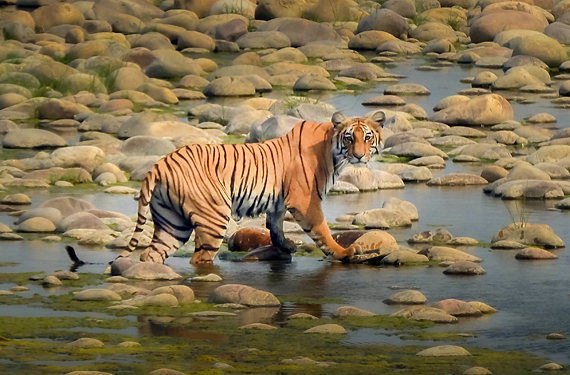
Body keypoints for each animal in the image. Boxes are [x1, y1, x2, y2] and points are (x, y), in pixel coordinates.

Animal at [118, 110, 386, 266]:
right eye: (350, 138)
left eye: (368, 137)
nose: (360, 156)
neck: (332, 150)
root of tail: (160, 163)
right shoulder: (305, 201)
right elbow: (322, 230)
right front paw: (344, 252)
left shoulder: (280, 202)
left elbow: (275, 225)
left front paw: (284, 246)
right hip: (213, 217)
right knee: (200, 258)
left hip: (172, 223)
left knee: (152, 254)